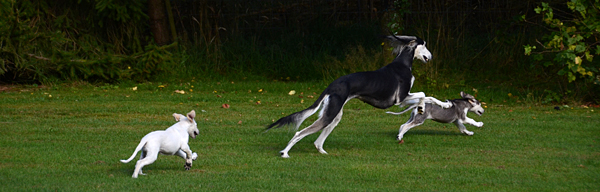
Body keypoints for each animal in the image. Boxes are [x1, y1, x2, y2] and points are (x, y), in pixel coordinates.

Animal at [266, 35, 450, 158]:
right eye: (424, 45)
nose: (431, 56)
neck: (403, 64)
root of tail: (332, 85)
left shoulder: (403, 99)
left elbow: (426, 96)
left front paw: (434, 106)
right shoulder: (400, 98)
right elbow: (425, 94)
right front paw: (429, 107)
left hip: (335, 115)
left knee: (317, 142)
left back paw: (323, 152)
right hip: (331, 114)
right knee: (300, 133)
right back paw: (284, 153)